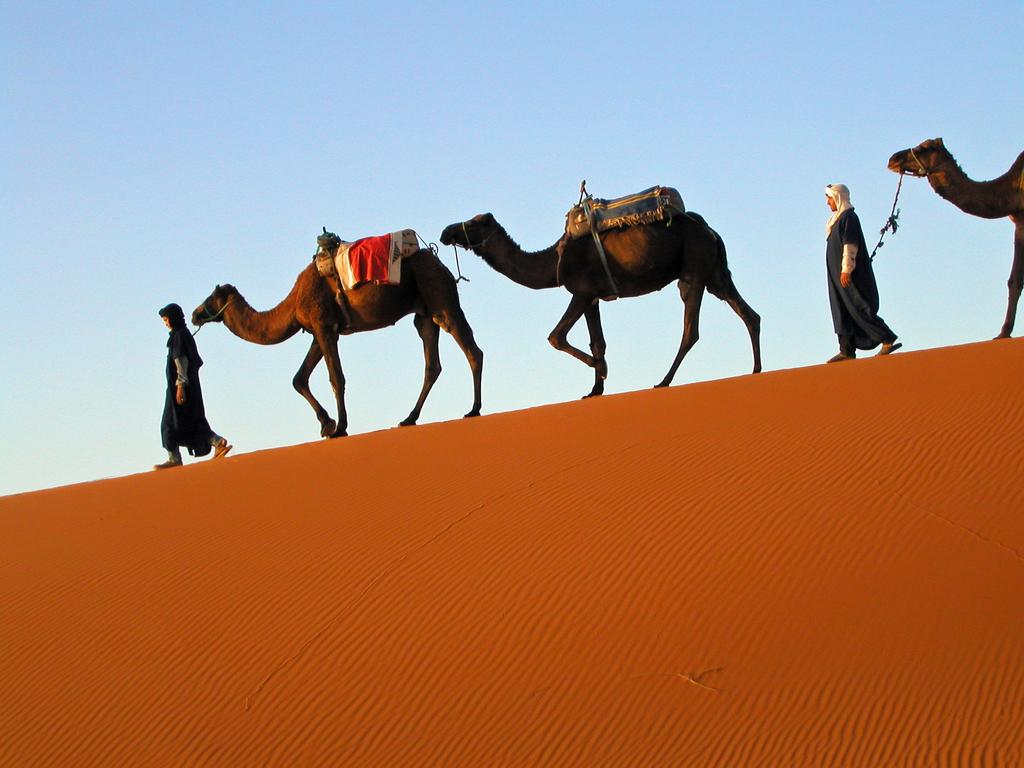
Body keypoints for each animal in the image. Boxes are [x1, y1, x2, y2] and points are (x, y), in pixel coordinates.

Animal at [192, 249, 483, 436]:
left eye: (210, 298)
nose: (195, 314)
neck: (292, 304)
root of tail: (441, 263)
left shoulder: (324, 327)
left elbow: (336, 378)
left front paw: (339, 428)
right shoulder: (318, 332)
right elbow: (299, 379)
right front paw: (326, 424)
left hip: (438, 293)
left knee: (471, 349)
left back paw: (474, 409)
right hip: (424, 313)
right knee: (432, 363)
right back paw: (409, 418)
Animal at [440, 208, 761, 397]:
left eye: (475, 222)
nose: (446, 232)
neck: (553, 261)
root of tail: (709, 230)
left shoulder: (581, 292)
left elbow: (556, 337)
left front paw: (602, 369)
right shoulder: (592, 297)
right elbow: (597, 342)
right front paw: (595, 389)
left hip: (694, 263)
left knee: (690, 328)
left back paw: (664, 380)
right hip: (715, 271)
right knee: (748, 313)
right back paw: (757, 369)